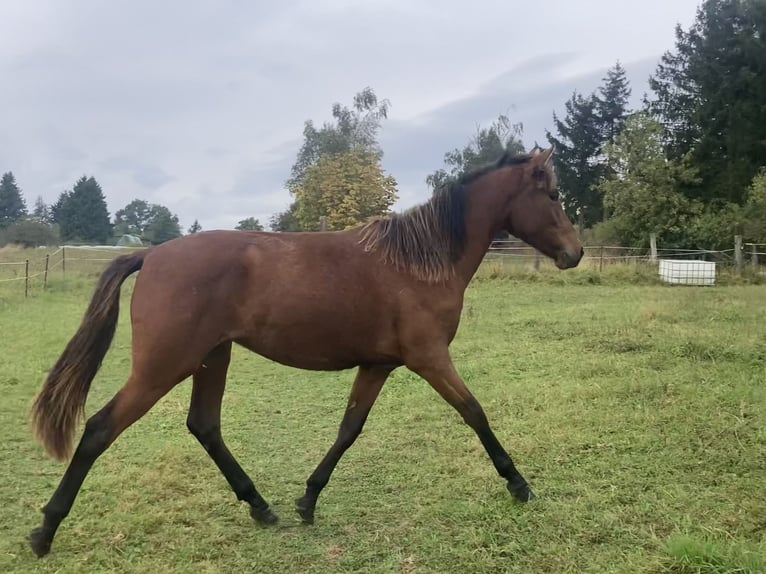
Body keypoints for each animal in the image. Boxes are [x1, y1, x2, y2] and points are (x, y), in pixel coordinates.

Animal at [28, 147, 584, 560]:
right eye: (554, 194)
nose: (575, 253)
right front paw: (519, 485)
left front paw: (308, 500)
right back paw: (44, 532)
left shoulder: (378, 365)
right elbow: (475, 412)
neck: (419, 263)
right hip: (164, 365)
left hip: (212, 358)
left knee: (204, 426)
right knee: (100, 428)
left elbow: (349, 429)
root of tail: (152, 254)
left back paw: (261, 507)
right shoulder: (429, 359)